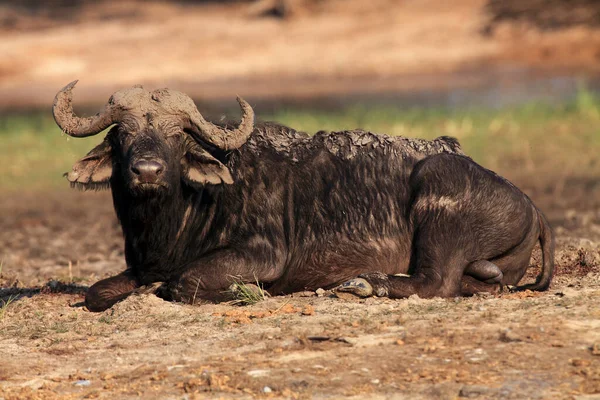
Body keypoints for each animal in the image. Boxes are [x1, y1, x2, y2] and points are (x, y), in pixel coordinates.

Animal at [51, 81, 552, 312]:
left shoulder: (261, 254)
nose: (148, 172)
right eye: (123, 134)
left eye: (176, 136)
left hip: (438, 191)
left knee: (437, 283)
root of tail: (531, 206)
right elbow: (97, 292)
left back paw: (366, 283)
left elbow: (181, 283)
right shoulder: (140, 265)